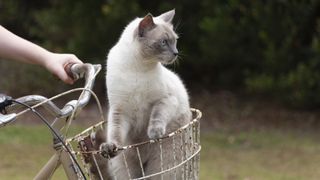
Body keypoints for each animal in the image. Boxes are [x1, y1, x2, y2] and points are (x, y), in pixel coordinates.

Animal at [100, 9, 190, 180]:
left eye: (175, 41)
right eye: (163, 42)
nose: (176, 53)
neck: (139, 68)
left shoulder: (165, 100)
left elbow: (157, 115)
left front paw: (154, 133)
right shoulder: (120, 111)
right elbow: (115, 134)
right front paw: (110, 147)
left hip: (162, 167)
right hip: (125, 169)